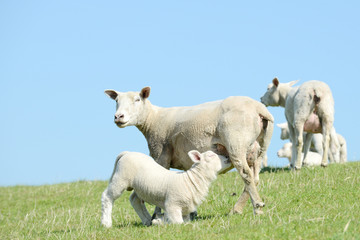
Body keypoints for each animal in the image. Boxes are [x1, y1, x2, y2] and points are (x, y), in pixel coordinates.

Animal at [100, 150, 232, 227]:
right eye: (211, 155)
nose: (227, 156)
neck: (190, 180)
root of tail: (127, 153)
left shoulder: (185, 210)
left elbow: (184, 221)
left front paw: (158, 220)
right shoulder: (172, 204)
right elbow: (178, 223)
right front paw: (160, 222)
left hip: (140, 187)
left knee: (135, 200)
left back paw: (147, 220)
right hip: (121, 178)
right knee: (107, 197)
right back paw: (106, 223)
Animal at [105, 87, 274, 216]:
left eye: (137, 100)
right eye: (116, 101)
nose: (118, 116)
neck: (152, 119)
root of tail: (258, 109)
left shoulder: (161, 154)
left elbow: (159, 181)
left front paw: (157, 215)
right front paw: (191, 213)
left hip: (236, 143)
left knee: (246, 175)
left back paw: (256, 207)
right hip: (260, 149)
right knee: (254, 178)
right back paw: (240, 210)